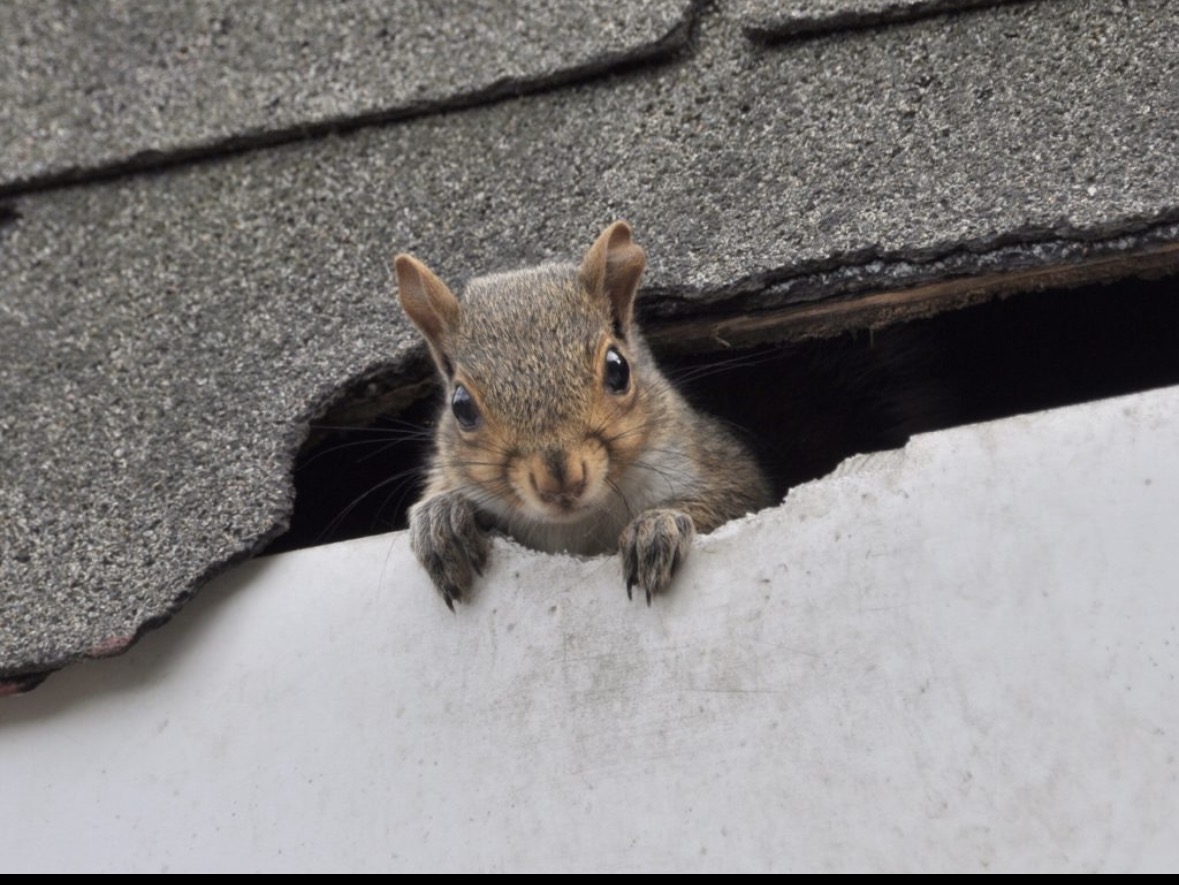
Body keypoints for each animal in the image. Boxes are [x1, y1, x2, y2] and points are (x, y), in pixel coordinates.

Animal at [394, 221, 773, 610]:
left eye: (618, 369)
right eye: (461, 405)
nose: (560, 480)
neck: (577, 525)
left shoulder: (709, 459)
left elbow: (733, 498)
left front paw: (656, 525)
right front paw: (440, 519)